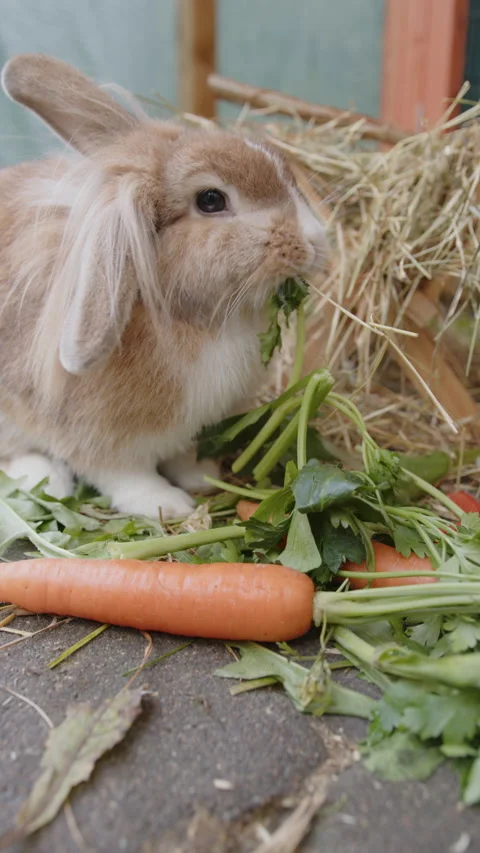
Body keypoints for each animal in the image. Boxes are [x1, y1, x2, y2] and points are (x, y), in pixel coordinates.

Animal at [0, 54, 327, 518]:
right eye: (211, 200)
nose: (315, 241)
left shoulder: (189, 429)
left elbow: (184, 456)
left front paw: (202, 476)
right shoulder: (97, 439)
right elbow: (124, 477)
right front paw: (169, 505)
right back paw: (47, 479)